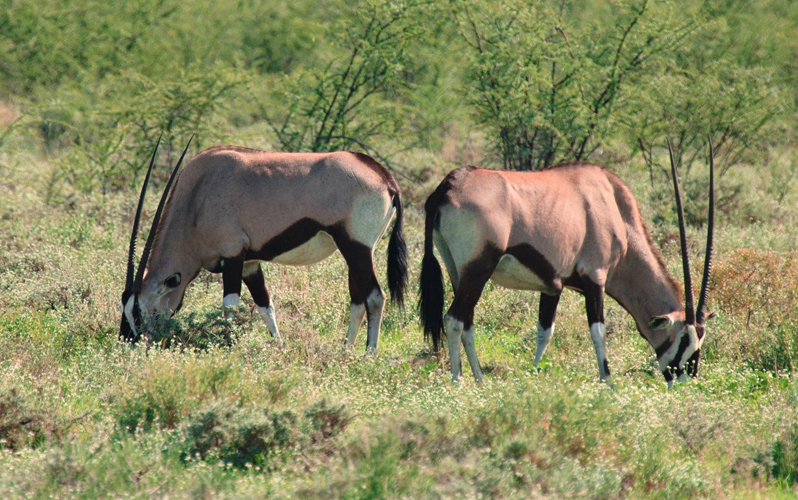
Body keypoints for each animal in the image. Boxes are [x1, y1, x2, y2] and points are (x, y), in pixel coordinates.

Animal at [122, 137, 410, 352]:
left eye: (137, 311)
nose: (126, 341)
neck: (196, 198)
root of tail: (384, 177)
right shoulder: (250, 263)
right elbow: (265, 304)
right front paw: (279, 347)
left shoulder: (233, 255)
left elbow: (230, 304)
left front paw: (228, 345)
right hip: (353, 254)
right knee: (358, 299)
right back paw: (346, 350)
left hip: (356, 248)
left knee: (375, 297)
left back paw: (368, 354)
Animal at [422, 143, 716, 384]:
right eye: (684, 339)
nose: (685, 380)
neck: (616, 210)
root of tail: (450, 184)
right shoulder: (595, 276)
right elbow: (598, 331)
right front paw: (607, 382)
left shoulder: (553, 286)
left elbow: (545, 332)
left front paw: (534, 374)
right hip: (478, 270)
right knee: (454, 319)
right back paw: (458, 382)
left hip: (459, 272)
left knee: (467, 322)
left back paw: (480, 379)